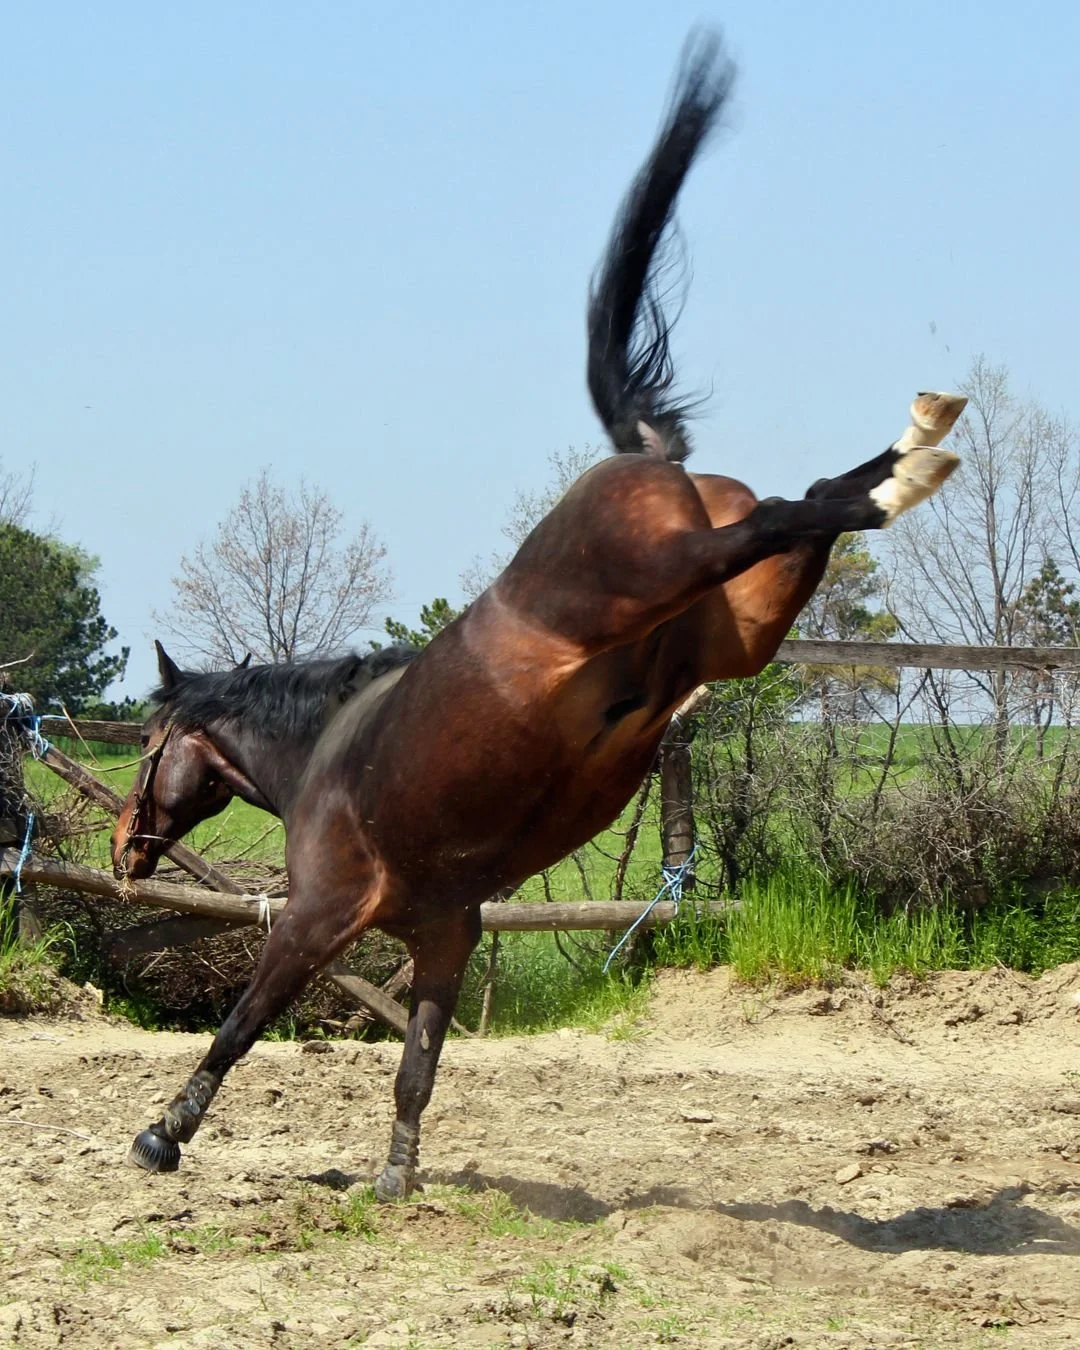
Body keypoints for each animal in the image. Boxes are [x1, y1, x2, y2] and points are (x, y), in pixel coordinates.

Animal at [118, 34, 966, 1199]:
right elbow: (417, 1065)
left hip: (662, 573)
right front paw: (394, 1181)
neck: (323, 758)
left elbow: (245, 1022)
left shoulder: (320, 917)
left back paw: (911, 464)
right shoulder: (443, 932)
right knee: (807, 516)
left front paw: (163, 1134)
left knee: (794, 514)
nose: (125, 849)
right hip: (743, 633)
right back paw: (917, 440)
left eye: (150, 746)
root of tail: (641, 456)